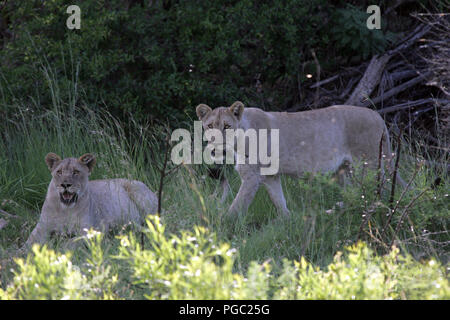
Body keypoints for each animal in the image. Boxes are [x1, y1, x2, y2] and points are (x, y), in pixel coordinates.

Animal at [24, 152, 160, 248]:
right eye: (59, 172)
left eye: (76, 172)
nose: (65, 185)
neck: (65, 209)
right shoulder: (42, 227)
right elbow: (28, 244)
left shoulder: (89, 231)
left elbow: (70, 243)